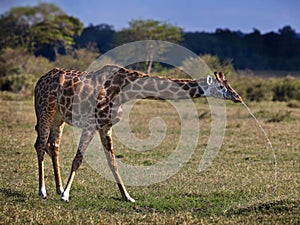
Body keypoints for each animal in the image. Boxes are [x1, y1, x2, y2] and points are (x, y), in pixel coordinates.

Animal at [34, 64, 243, 202]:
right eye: (222, 87)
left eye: (230, 85)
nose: (238, 97)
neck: (125, 92)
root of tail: (39, 81)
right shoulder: (91, 124)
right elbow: (78, 158)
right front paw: (66, 196)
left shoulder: (105, 126)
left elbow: (113, 162)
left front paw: (127, 196)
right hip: (45, 110)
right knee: (40, 144)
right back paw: (43, 191)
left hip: (58, 117)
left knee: (53, 146)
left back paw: (58, 187)